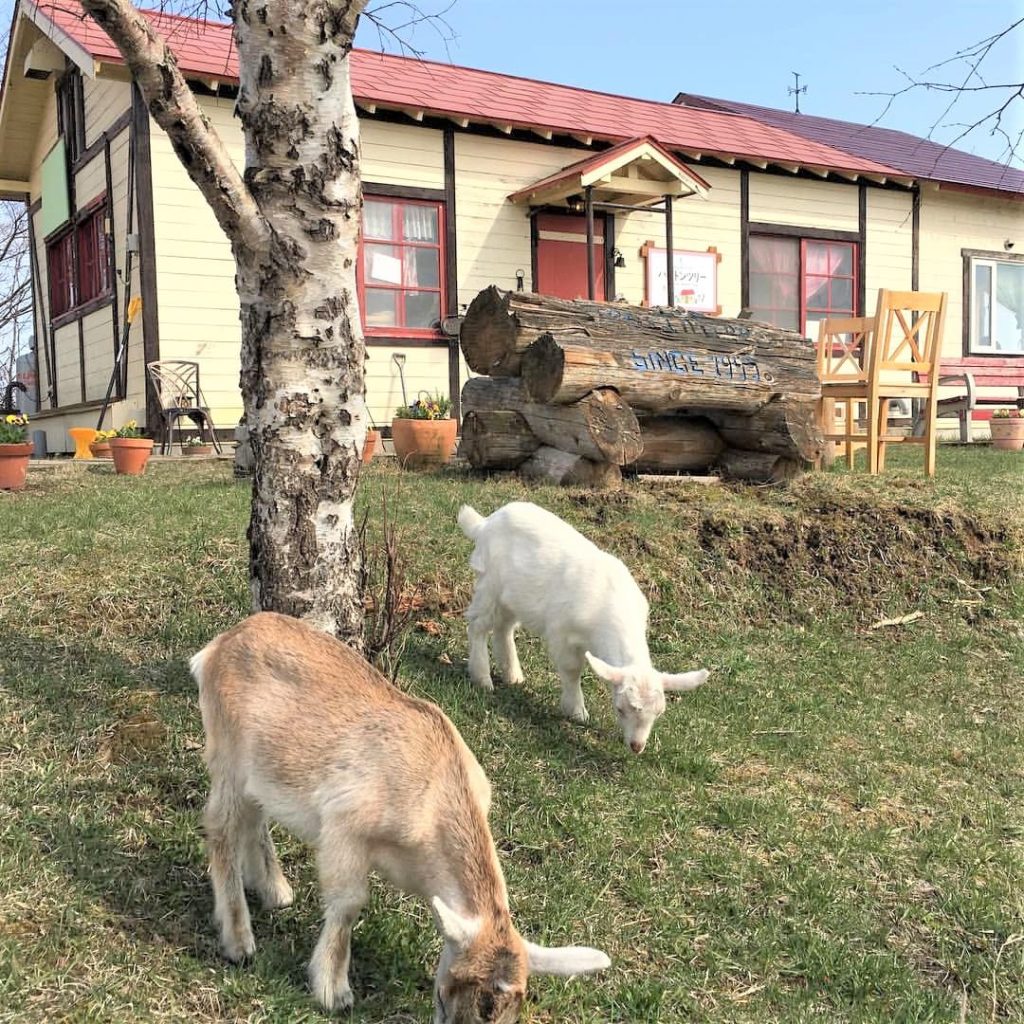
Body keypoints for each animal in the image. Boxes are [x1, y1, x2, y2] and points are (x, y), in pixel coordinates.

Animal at [192, 610, 606, 1019]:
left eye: (512, 1012)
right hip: (227, 753)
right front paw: (333, 990)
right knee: (220, 825)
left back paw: (274, 890)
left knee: (253, 816)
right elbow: (348, 904)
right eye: (451, 992)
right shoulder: (345, 828)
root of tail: (222, 643)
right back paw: (239, 940)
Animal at [460, 499, 708, 757]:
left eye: (659, 713)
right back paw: (482, 678)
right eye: (619, 709)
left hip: (512, 597)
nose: (636, 746)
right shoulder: (561, 631)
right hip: (490, 584)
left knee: (503, 628)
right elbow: (571, 670)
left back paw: (513, 676)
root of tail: (485, 523)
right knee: (478, 626)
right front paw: (577, 711)